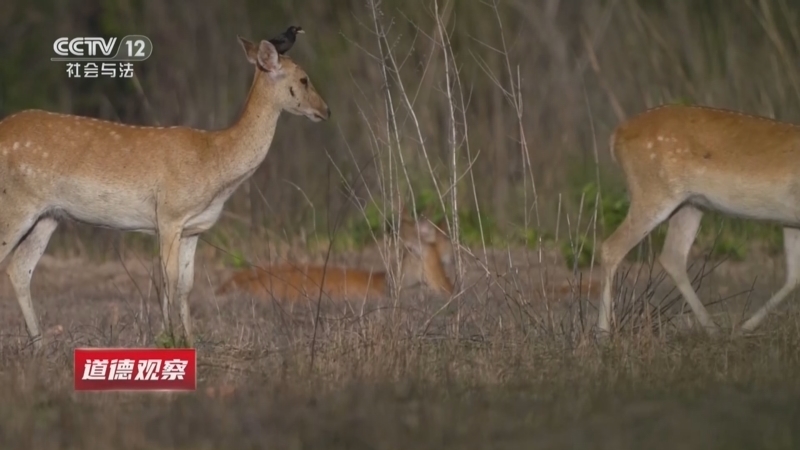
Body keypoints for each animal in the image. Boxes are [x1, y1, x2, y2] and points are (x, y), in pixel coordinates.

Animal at [0, 35, 330, 351]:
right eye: (303, 79)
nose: (326, 110)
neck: (214, 160)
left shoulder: (193, 229)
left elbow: (186, 285)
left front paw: (188, 342)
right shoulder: (169, 215)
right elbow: (168, 280)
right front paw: (167, 338)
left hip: (48, 215)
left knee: (20, 268)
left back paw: (40, 346)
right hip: (15, 204)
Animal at [598, 103, 800, 337]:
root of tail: (616, 134)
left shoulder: (791, 221)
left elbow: (794, 276)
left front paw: (745, 328)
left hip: (690, 205)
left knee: (672, 256)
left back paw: (715, 330)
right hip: (653, 194)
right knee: (611, 248)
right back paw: (602, 334)